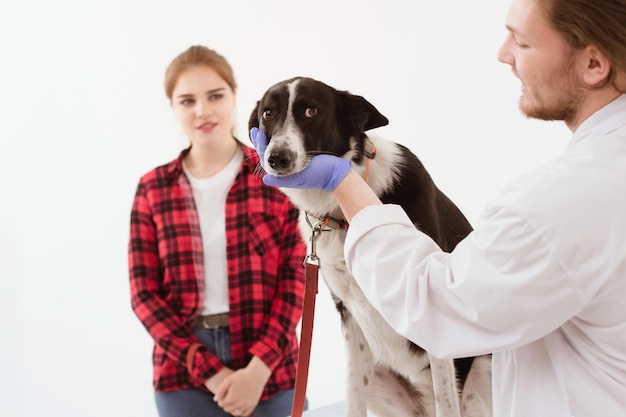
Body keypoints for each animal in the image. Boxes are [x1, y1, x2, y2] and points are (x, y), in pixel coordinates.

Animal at [247, 77, 488, 416]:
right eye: (268, 114)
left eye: (312, 111)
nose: (276, 158)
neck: (342, 211)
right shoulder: (350, 318)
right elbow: (353, 395)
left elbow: (446, 399)